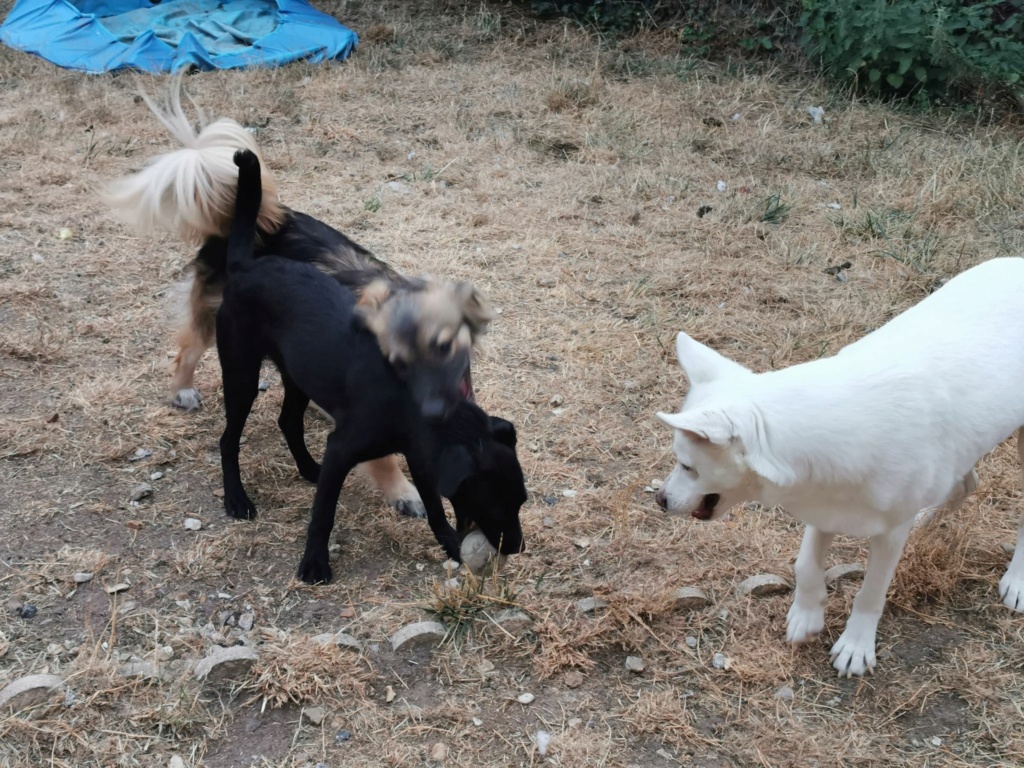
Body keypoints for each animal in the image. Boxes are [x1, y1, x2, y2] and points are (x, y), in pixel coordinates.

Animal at [214, 150, 520, 581]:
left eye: (521, 500)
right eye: (495, 504)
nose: (518, 546)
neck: (406, 405)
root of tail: (246, 266)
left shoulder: (420, 458)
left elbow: (436, 509)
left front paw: (449, 544)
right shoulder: (343, 448)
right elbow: (323, 515)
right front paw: (314, 563)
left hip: (300, 376)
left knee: (288, 421)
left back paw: (308, 468)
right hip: (241, 372)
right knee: (228, 439)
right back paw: (236, 498)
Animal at [655, 259, 1024, 679]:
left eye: (688, 466)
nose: (659, 499)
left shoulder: (886, 533)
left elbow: (871, 592)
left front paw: (856, 645)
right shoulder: (824, 505)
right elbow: (805, 564)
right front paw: (807, 615)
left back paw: (1016, 580)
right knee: (966, 483)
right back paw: (927, 518)